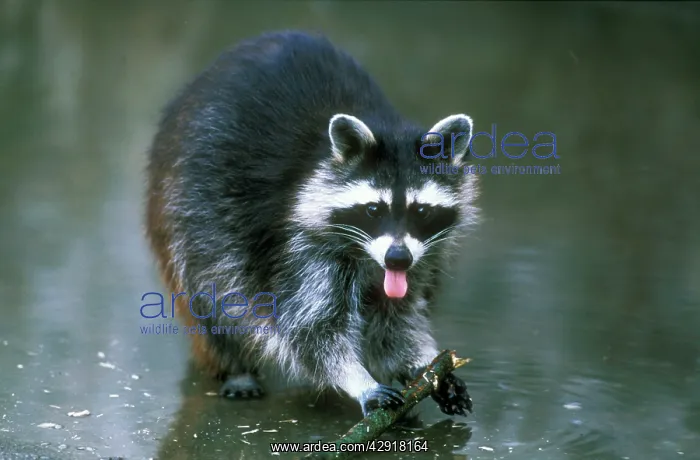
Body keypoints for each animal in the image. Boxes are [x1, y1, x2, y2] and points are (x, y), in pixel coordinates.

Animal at [145, 30, 479, 417]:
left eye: (421, 211)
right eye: (373, 210)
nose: (397, 259)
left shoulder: (423, 257)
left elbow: (397, 320)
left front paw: (423, 366)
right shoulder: (303, 246)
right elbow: (311, 328)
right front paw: (359, 380)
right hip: (187, 195)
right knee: (213, 279)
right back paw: (233, 365)